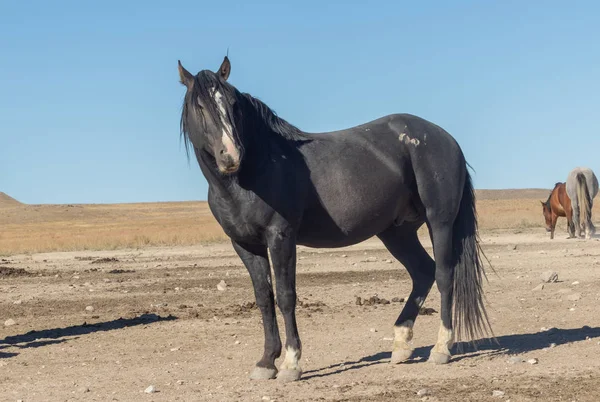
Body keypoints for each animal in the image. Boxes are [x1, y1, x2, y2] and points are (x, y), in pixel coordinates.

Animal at [177, 55, 492, 380]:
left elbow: (286, 295)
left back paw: (441, 348)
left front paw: (291, 363)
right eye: (199, 106)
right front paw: (265, 362)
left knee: (443, 275)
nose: (231, 155)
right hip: (396, 232)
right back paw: (401, 345)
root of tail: (446, 139)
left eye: (233, 104)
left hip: (439, 222)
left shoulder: (281, 237)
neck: (254, 173)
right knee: (422, 272)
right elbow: (264, 298)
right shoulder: (245, 245)